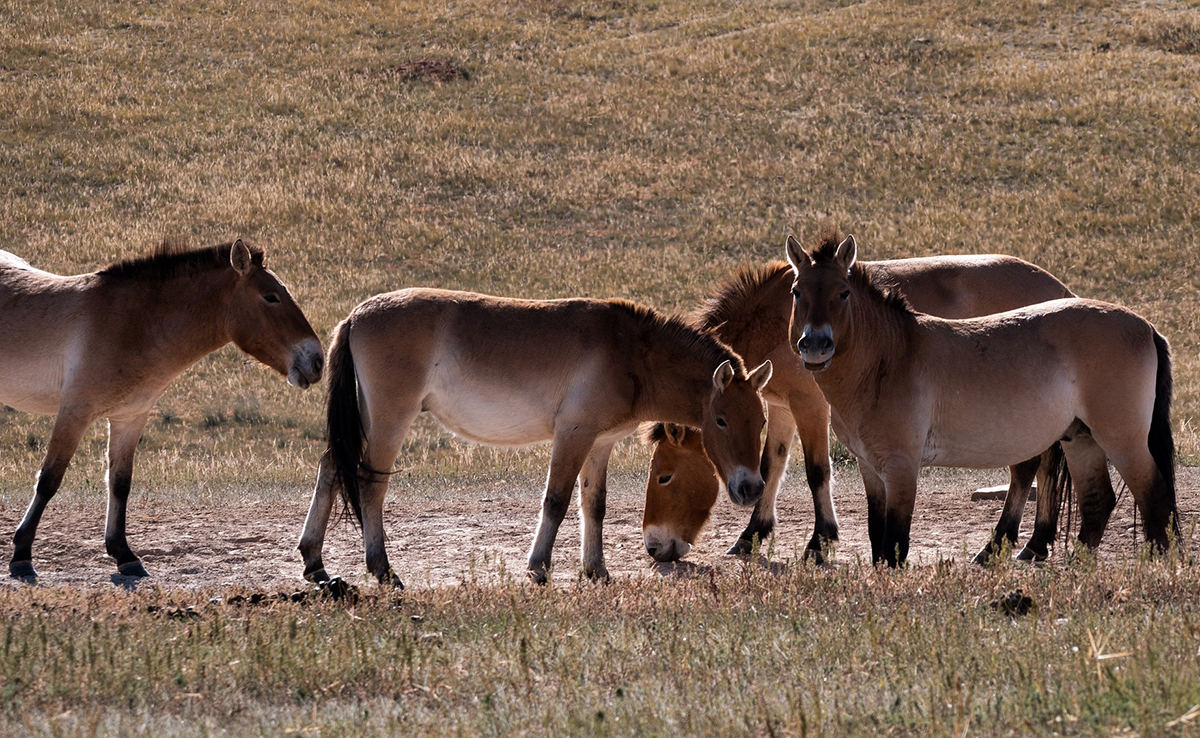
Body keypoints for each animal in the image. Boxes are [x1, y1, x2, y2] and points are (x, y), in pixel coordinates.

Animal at [2, 240, 324, 580]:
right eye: (270, 296)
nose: (317, 360)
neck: (133, 325)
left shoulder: (129, 418)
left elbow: (120, 484)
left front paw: (124, 554)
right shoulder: (75, 412)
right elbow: (49, 480)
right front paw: (21, 554)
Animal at [298, 289, 768, 588]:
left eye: (762, 421)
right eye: (721, 420)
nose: (751, 488)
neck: (631, 353)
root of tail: (357, 315)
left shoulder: (599, 444)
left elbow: (593, 506)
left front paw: (596, 571)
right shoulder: (573, 435)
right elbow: (556, 501)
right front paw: (539, 567)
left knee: (330, 467)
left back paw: (314, 562)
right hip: (390, 420)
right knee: (369, 483)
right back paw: (382, 569)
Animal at [782, 234, 1176, 564]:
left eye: (843, 292)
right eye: (797, 291)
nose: (815, 345)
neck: (890, 359)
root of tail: (1146, 327)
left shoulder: (901, 467)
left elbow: (894, 544)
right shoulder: (869, 468)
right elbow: (878, 539)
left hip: (1121, 441)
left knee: (1153, 495)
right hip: (1081, 440)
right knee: (1098, 504)